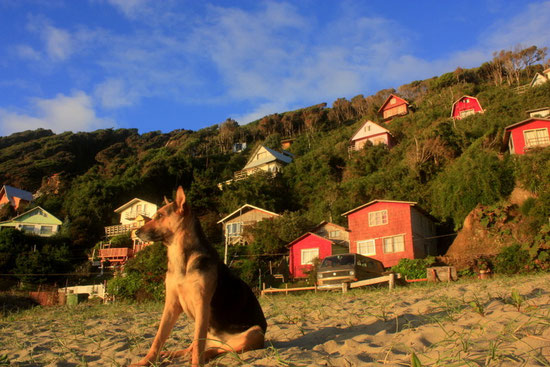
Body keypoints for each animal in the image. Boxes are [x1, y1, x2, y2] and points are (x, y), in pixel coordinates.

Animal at [130, 188, 268, 366]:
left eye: (160, 216)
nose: (136, 232)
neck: (181, 257)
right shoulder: (171, 305)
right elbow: (159, 338)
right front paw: (146, 361)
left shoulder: (201, 304)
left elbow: (198, 344)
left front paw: (196, 363)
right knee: (195, 347)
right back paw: (172, 354)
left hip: (254, 333)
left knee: (222, 349)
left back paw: (207, 354)